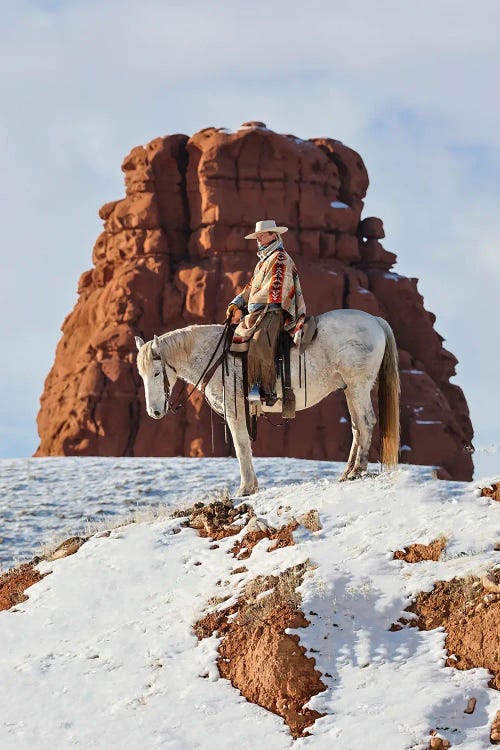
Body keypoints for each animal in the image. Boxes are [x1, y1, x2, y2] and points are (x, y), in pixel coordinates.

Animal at [135, 308, 400, 496]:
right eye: (142, 374)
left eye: (157, 373)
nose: (154, 412)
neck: (216, 356)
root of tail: (375, 320)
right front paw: (250, 486)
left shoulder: (235, 410)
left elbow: (241, 446)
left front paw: (245, 488)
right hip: (350, 390)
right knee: (356, 427)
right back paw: (347, 472)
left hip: (358, 386)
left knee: (366, 422)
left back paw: (357, 470)